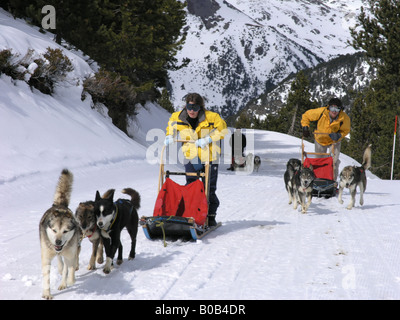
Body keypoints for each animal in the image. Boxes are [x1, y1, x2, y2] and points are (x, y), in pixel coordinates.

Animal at [39, 170, 81, 300]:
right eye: (54, 230)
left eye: (65, 231)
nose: (58, 241)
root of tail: (60, 205)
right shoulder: (46, 257)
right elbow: (47, 277)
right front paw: (47, 293)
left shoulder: (71, 254)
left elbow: (71, 270)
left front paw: (70, 280)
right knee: (60, 261)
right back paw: (61, 268)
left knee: (67, 266)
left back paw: (64, 282)